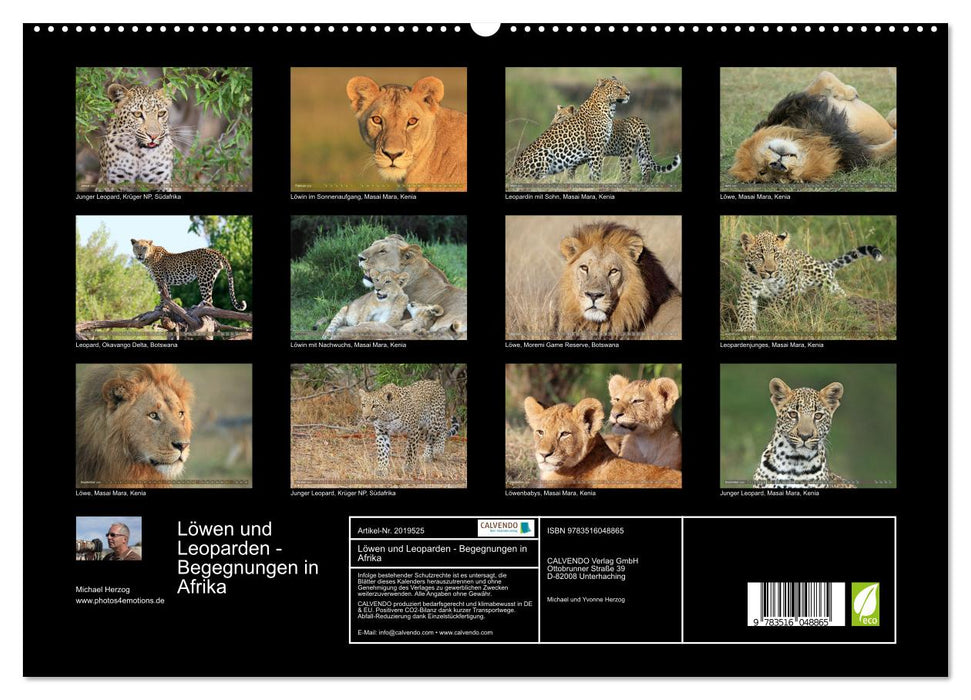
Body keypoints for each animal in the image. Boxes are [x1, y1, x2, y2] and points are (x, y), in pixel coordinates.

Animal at [729, 71, 896, 183]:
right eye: (764, 172)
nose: (777, 165)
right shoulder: (857, 154)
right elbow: (890, 148)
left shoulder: (797, 103)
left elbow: (822, 76)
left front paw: (849, 92)